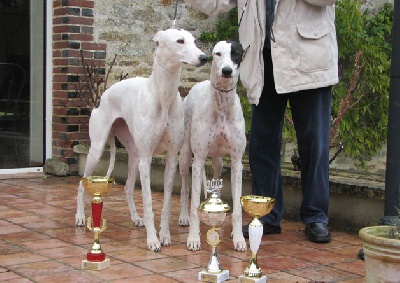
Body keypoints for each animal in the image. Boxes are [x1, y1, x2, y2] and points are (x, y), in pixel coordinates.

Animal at [74, 29, 209, 253]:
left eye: (194, 41)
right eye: (180, 41)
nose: (204, 57)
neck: (163, 97)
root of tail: (105, 93)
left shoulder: (171, 158)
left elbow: (165, 204)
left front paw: (164, 235)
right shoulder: (146, 159)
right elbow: (148, 203)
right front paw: (153, 240)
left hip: (134, 154)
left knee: (128, 187)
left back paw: (136, 219)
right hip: (98, 149)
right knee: (82, 183)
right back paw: (79, 217)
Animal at [178, 41, 247, 252]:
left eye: (237, 54)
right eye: (218, 54)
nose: (226, 71)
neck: (222, 105)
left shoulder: (236, 162)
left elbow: (238, 207)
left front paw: (239, 238)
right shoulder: (199, 159)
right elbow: (194, 205)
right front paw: (193, 238)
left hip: (219, 161)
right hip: (185, 157)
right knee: (185, 188)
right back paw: (183, 216)